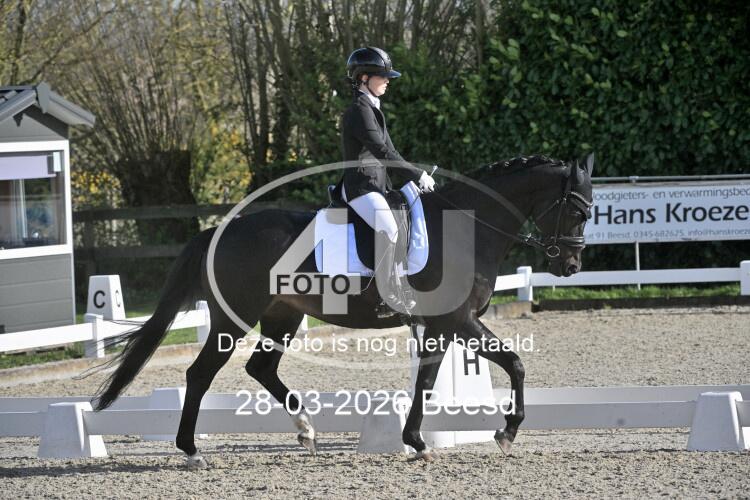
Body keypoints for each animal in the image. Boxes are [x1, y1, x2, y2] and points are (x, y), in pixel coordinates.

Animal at [91, 153, 594, 467]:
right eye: (576, 211)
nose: (570, 265)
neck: (467, 229)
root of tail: (221, 229)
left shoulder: (444, 325)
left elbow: (427, 382)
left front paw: (417, 442)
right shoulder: (459, 320)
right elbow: (516, 363)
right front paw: (505, 433)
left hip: (283, 316)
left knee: (260, 368)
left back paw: (305, 430)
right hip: (235, 318)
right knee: (201, 374)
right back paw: (192, 451)